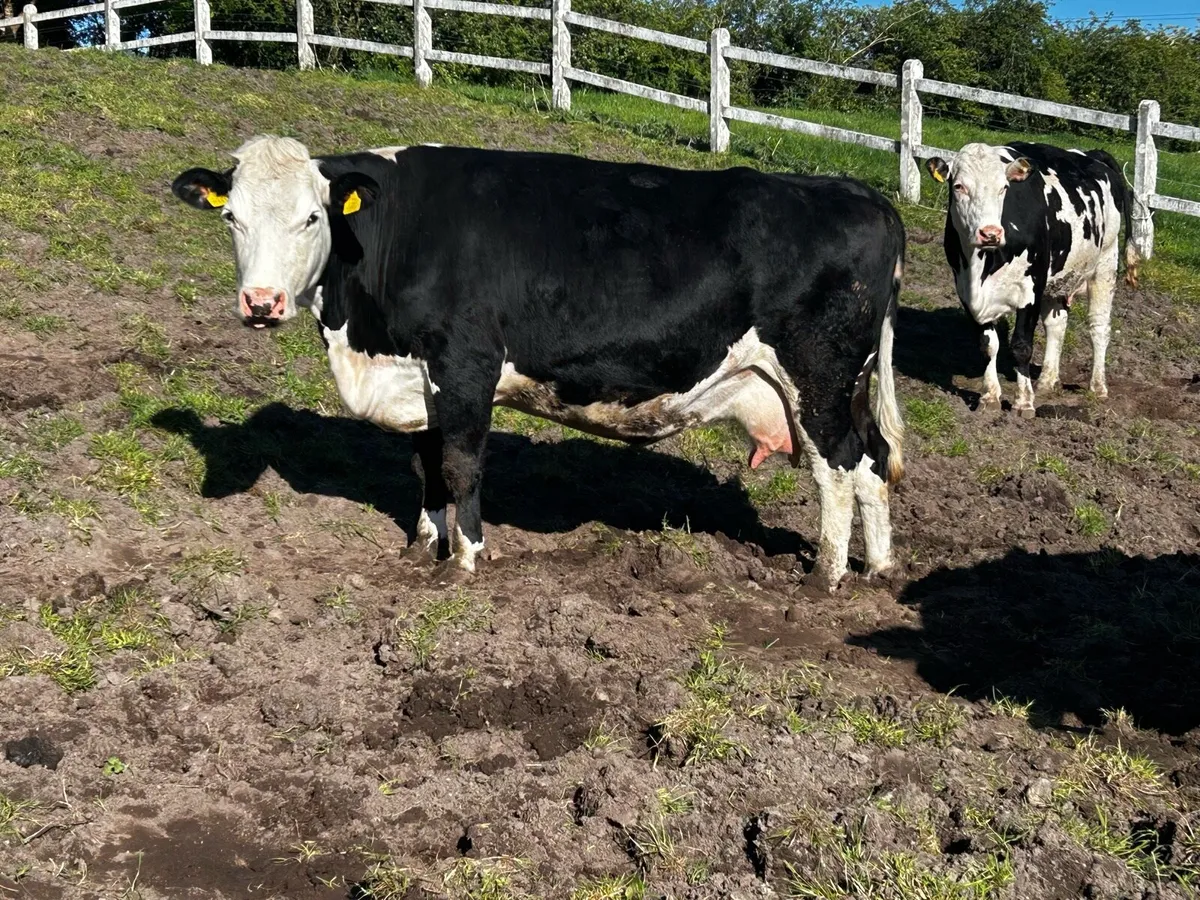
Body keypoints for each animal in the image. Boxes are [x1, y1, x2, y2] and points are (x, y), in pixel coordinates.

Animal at [170, 135, 907, 591]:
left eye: (312, 218)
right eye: (232, 218)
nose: (261, 302)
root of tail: (862, 194)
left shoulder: (466, 363)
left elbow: (461, 465)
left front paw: (466, 559)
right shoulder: (421, 378)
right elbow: (426, 464)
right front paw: (422, 544)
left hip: (817, 374)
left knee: (837, 467)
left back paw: (825, 576)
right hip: (839, 384)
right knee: (872, 460)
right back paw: (876, 569)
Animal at [924, 140, 1138, 416]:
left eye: (1004, 187)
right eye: (958, 186)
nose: (990, 233)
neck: (982, 265)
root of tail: (1091, 154)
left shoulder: (1031, 289)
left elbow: (1021, 347)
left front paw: (1023, 401)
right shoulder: (966, 292)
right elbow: (988, 345)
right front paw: (989, 397)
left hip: (1105, 264)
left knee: (1099, 327)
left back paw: (1098, 386)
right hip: (1057, 278)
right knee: (1057, 325)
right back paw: (1047, 381)